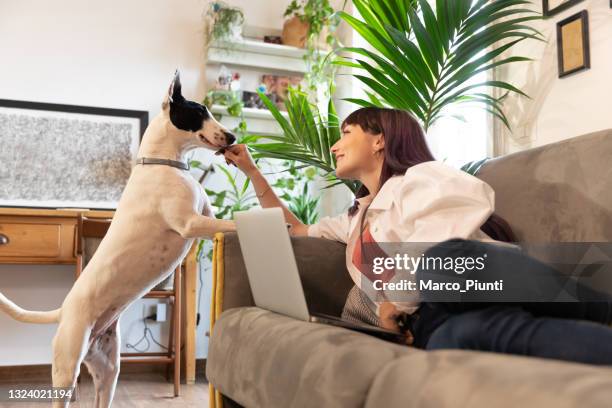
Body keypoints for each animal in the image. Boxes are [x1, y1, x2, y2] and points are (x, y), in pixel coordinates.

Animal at [0, 71, 237, 406]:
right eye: (199, 113)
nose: (232, 137)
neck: (166, 164)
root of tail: (64, 311)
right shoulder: (190, 223)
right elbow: (232, 222)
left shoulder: (205, 217)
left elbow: (230, 219)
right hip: (66, 370)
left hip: (108, 371)